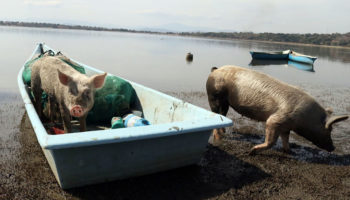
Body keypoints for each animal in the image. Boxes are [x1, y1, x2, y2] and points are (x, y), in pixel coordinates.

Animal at [206, 65, 348, 154]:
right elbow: (271, 140)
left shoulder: (286, 126)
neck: (305, 119)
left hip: (225, 102)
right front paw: (251, 152)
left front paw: (290, 152)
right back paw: (219, 136)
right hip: (214, 95)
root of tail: (215, 70)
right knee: (215, 113)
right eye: (329, 130)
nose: (333, 147)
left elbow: (286, 138)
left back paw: (224, 131)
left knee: (223, 115)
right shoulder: (276, 120)